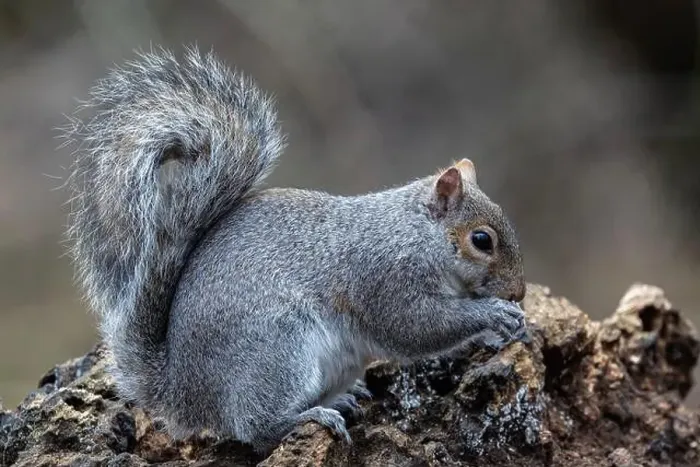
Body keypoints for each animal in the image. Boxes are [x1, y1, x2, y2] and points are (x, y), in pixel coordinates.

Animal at [63, 47, 528, 453]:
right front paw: (494, 315)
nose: (519, 293)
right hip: (278, 349)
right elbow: (415, 326)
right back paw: (307, 417)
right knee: (256, 429)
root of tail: (182, 392)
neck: (414, 234)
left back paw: (337, 400)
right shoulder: (384, 276)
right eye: (482, 240)